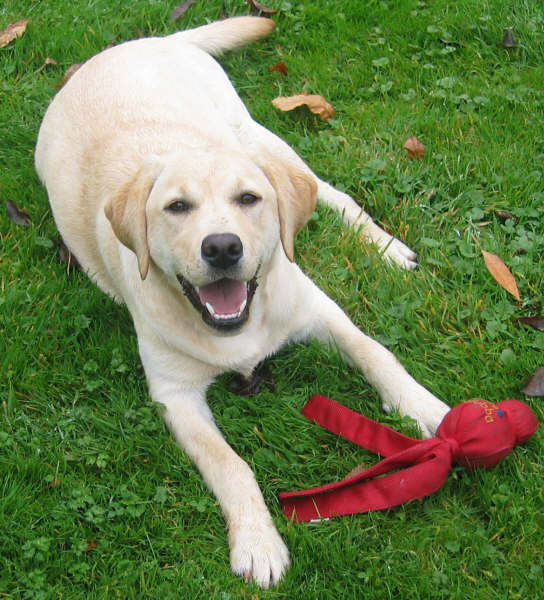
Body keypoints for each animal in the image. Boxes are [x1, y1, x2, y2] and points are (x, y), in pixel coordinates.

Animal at [35, 17, 449, 589]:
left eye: (248, 199)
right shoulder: (176, 396)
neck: (236, 325)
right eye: (176, 207)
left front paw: (424, 408)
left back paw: (382, 245)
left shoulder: (319, 310)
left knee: (327, 191)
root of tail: (144, 44)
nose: (222, 247)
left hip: (258, 134)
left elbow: (375, 352)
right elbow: (231, 465)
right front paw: (258, 542)